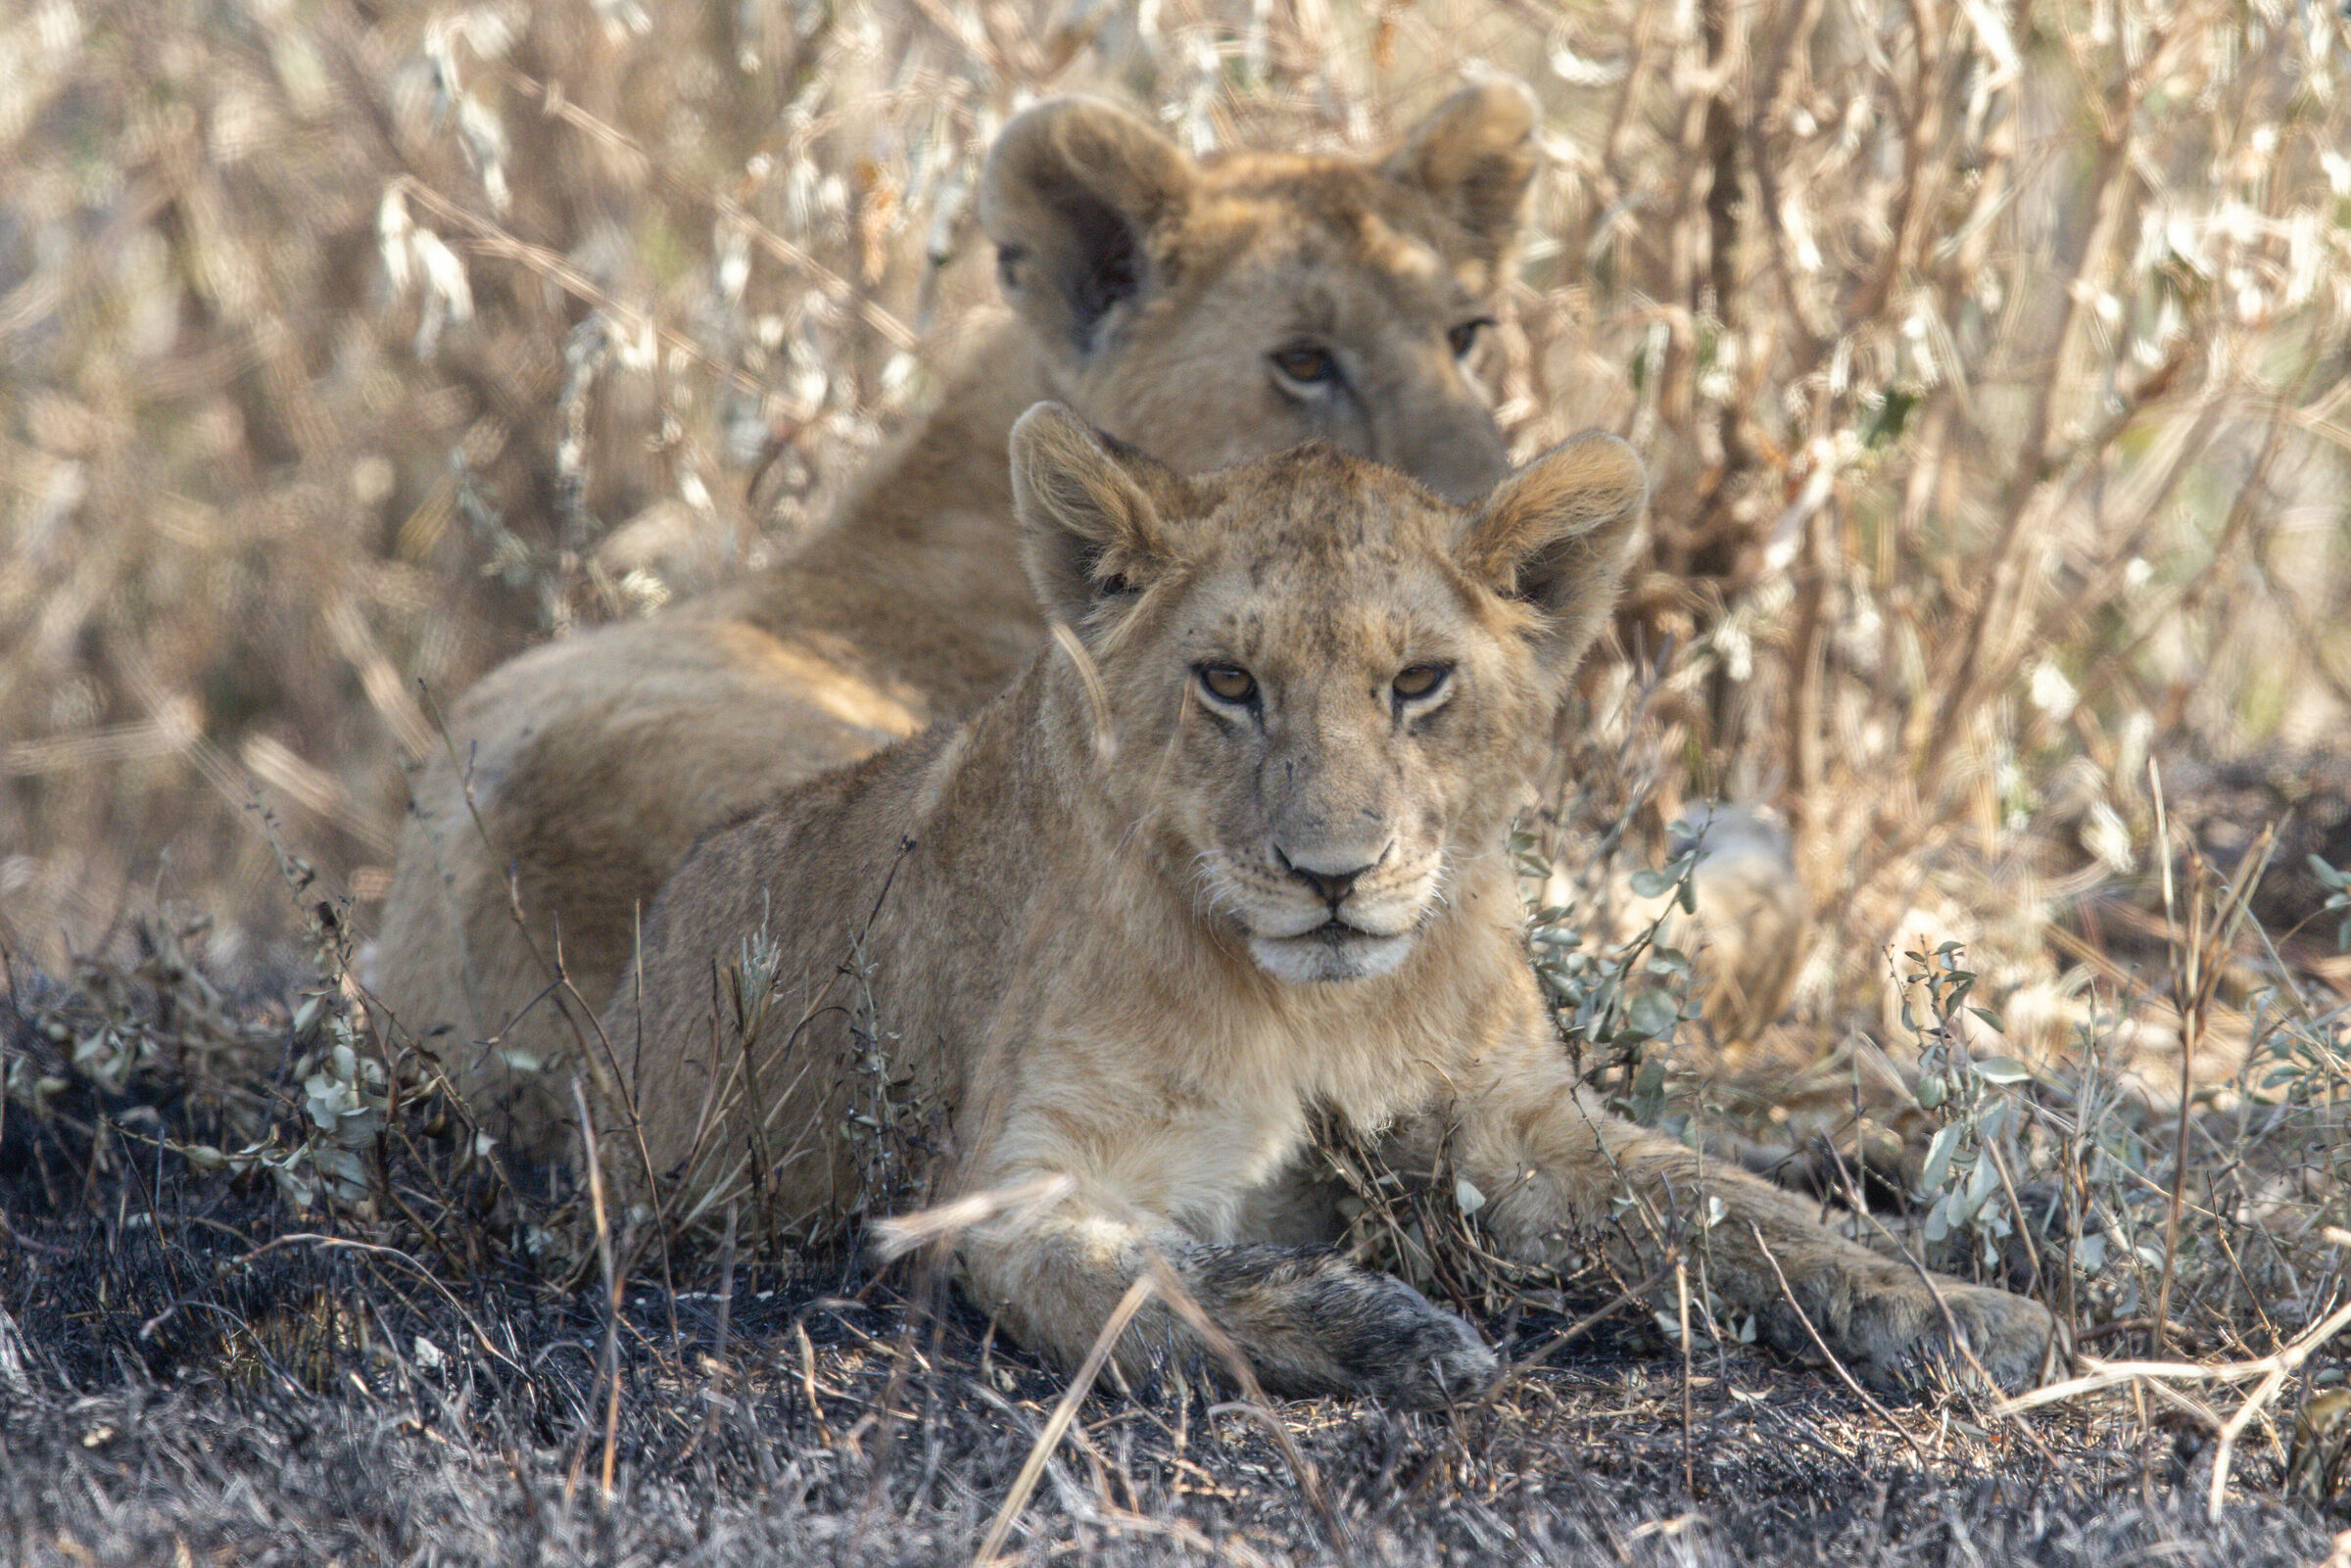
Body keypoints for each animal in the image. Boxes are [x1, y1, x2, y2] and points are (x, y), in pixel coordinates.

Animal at [588, 405, 2064, 1406]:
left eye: (1417, 683)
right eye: (1229, 683)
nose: (1333, 873)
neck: (1318, 1014)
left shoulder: (1527, 1129)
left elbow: (1739, 1214)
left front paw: (1958, 1310)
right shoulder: (1009, 1183)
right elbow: (1172, 1274)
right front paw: (1406, 1332)